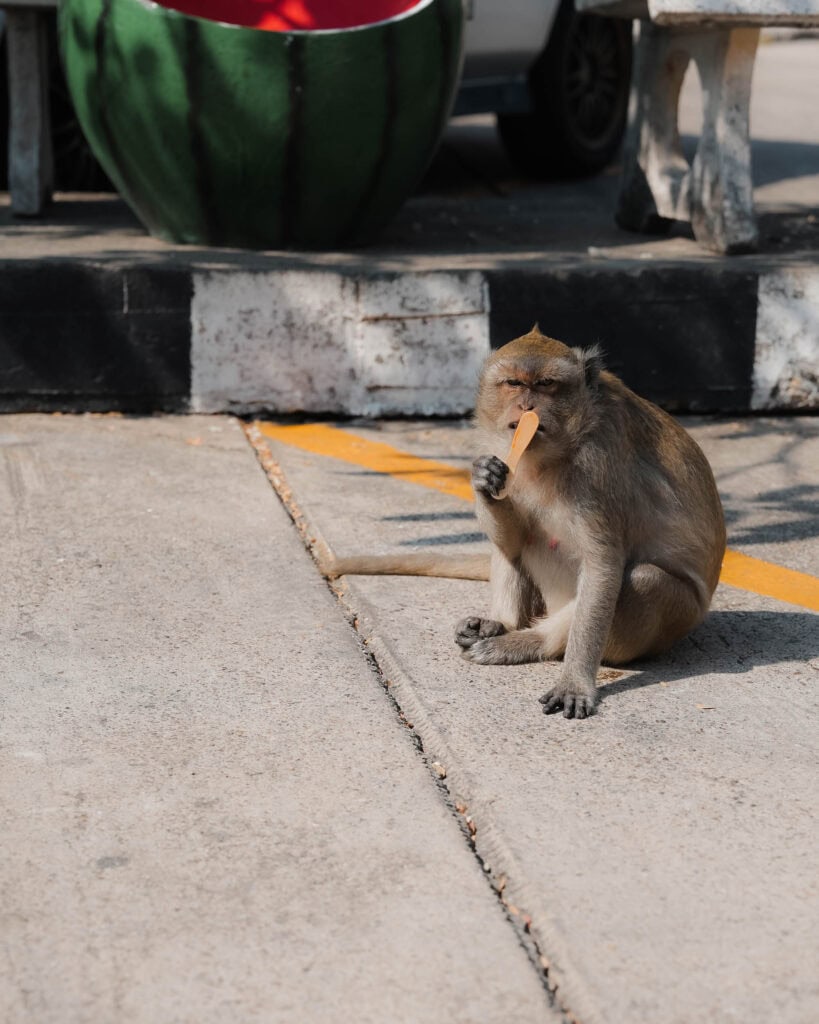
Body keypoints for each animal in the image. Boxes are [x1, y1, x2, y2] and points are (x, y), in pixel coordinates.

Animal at [326, 326, 726, 720]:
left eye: (546, 384)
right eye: (514, 384)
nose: (527, 407)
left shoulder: (599, 465)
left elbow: (603, 567)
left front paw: (575, 681)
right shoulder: (504, 448)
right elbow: (514, 533)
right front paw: (484, 482)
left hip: (669, 621)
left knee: (645, 579)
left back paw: (526, 642)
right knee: (521, 541)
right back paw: (497, 625)